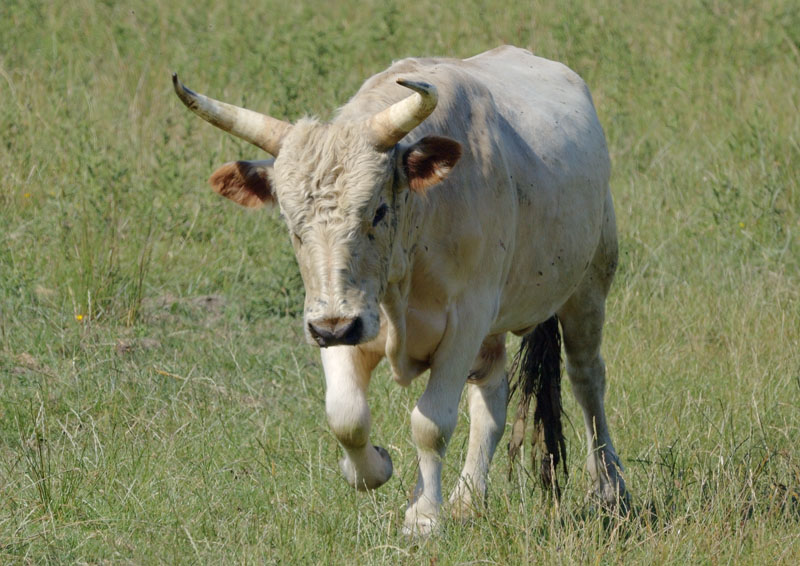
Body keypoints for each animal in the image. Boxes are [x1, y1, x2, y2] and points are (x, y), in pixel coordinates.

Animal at [173, 45, 628, 534]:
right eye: (292, 223)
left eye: (377, 210)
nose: (334, 328)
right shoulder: (339, 318)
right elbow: (346, 415)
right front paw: (373, 468)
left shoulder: (464, 322)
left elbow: (431, 423)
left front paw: (424, 517)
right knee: (491, 399)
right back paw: (467, 499)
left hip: (588, 288)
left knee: (587, 380)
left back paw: (610, 487)